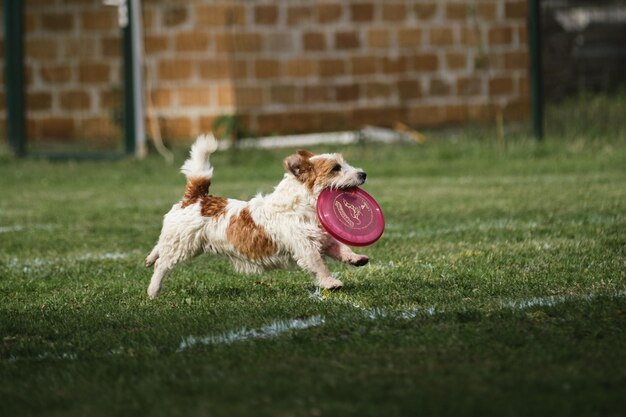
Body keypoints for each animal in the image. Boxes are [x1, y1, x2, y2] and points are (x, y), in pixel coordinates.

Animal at [145, 135, 370, 298]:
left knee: (159, 247)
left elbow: (341, 247)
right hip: (184, 245)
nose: (363, 174)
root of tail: (197, 198)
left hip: (178, 240)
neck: (302, 206)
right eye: (336, 168)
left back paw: (149, 258)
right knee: (162, 264)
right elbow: (319, 266)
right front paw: (331, 283)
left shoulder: (323, 239)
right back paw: (153, 290)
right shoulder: (306, 248)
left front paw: (356, 258)